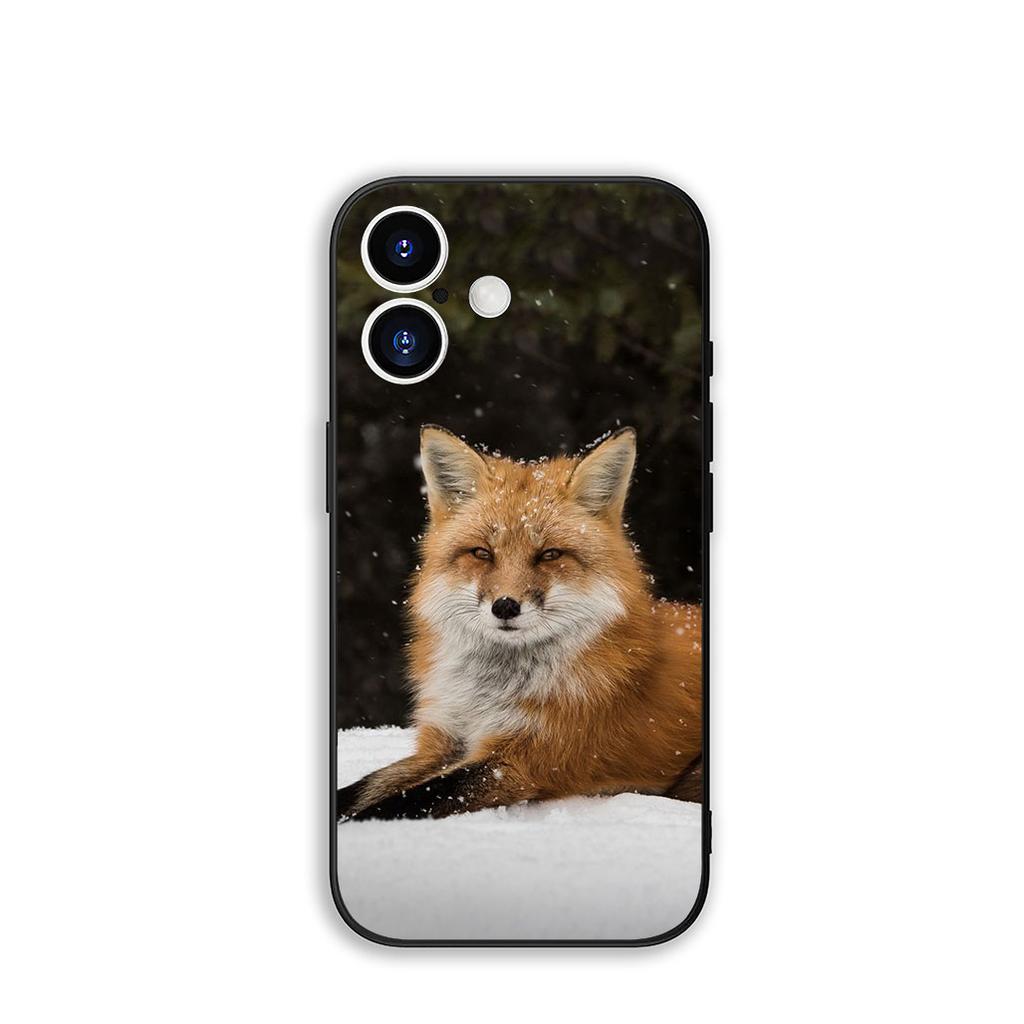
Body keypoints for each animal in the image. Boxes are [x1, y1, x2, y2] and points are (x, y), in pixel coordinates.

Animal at [336, 424, 703, 821]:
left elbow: (407, 800)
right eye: (482, 553)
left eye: (549, 555)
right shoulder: (444, 741)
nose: (505, 606)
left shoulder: (522, 761)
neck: (489, 692)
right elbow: (362, 789)